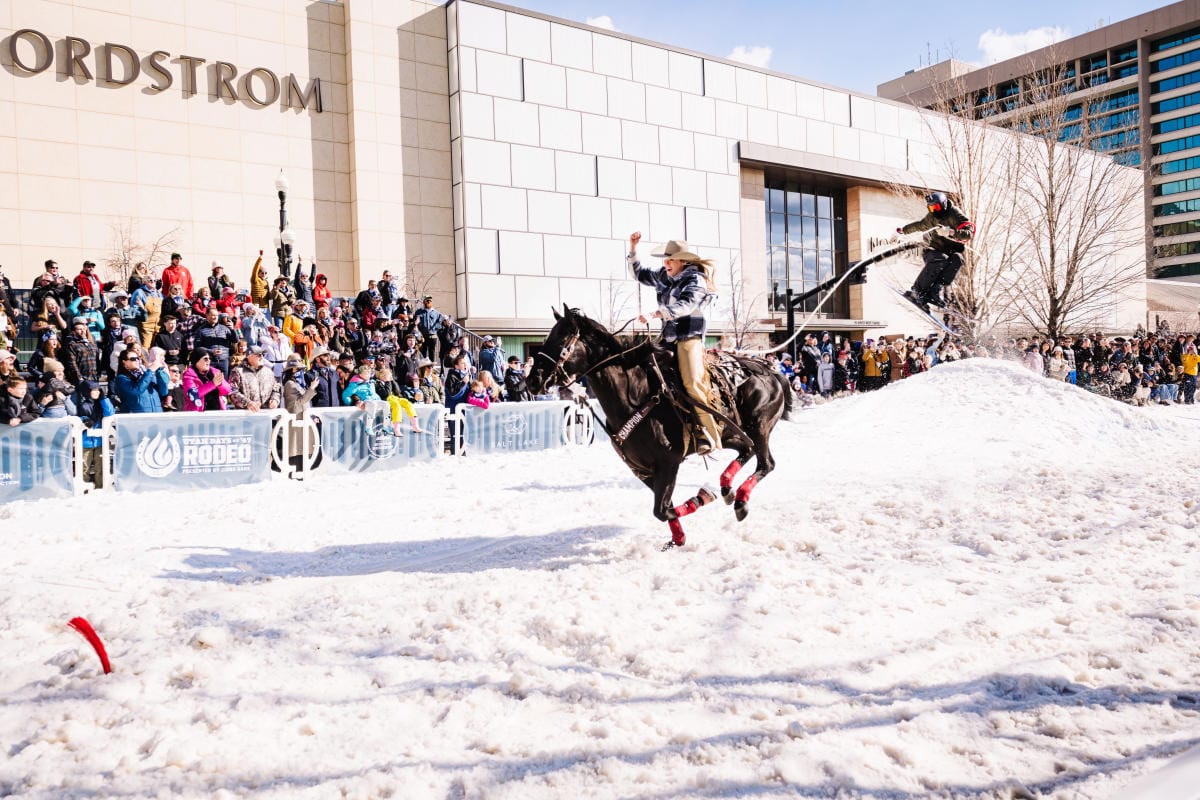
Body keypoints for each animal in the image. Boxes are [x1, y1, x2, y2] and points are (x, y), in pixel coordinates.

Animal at [528, 307, 792, 551]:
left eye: (562, 339)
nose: (533, 379)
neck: (637, 396)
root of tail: (772, 373)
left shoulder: (668, 463)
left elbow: (662, 510)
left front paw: (702, 497)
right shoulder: (643, 470)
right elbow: (665, 508)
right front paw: (678, 538)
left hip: (759, 426)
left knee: (766, 463)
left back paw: (740, 501)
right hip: (729, 433)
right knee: (747, 451)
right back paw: (727, 488)